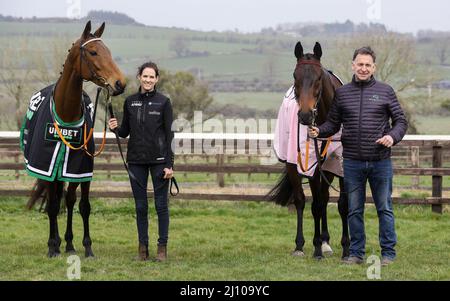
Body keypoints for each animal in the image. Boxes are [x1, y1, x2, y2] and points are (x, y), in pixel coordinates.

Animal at [24, 21, 126, 255]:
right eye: (93, 52)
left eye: (109, 51)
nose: (120, 83)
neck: (66, 115)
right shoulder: (47, 168)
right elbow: (53, 206)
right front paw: (53, 246)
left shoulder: (81, 169)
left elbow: (83, 206)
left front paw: (87, 247)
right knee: (54, 201)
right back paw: (56, 242)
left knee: (69, 200)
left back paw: (69, 244)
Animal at [268, 41, 350, 258]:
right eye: (294, 76)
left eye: (319, 77)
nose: (305, 115)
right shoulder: (309, 165)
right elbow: (312, 204)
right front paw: (312, 247)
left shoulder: (341, 166)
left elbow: (342, 204)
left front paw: (345, 246)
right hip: (297, 164)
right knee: (307, 200)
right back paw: (307, 244)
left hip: (327, 169)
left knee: (325, 198)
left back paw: (326, 242)